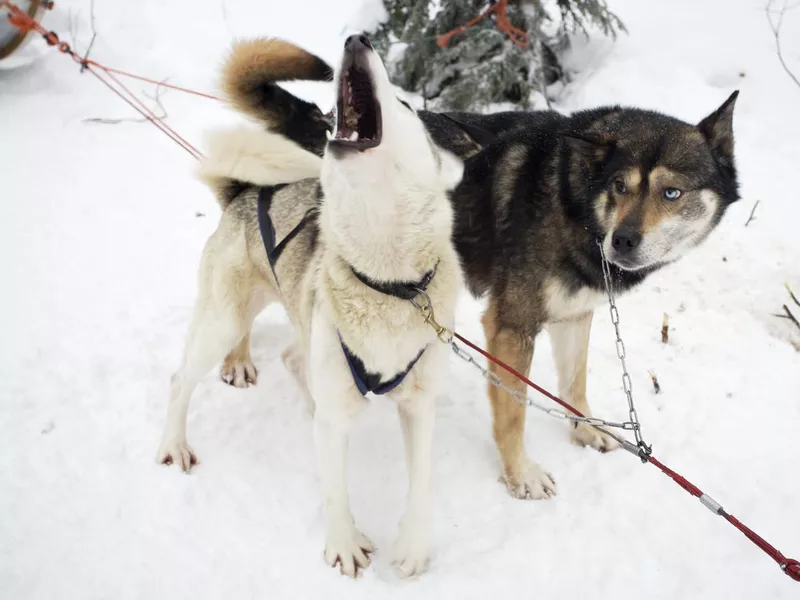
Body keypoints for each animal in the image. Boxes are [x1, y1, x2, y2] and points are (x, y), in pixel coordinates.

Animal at [155, 35, 462, 580]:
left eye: (405, 107)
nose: (358, 39)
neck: (388, 283)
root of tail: (244, 191)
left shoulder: (419, 404)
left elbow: (421, 480)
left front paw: (413, 545)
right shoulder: (338, 415)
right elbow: (336, 491)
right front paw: (343, 545)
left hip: (302, 325)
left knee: (292, 360)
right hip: (223, 322)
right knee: (180, 380)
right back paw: (174, 443)